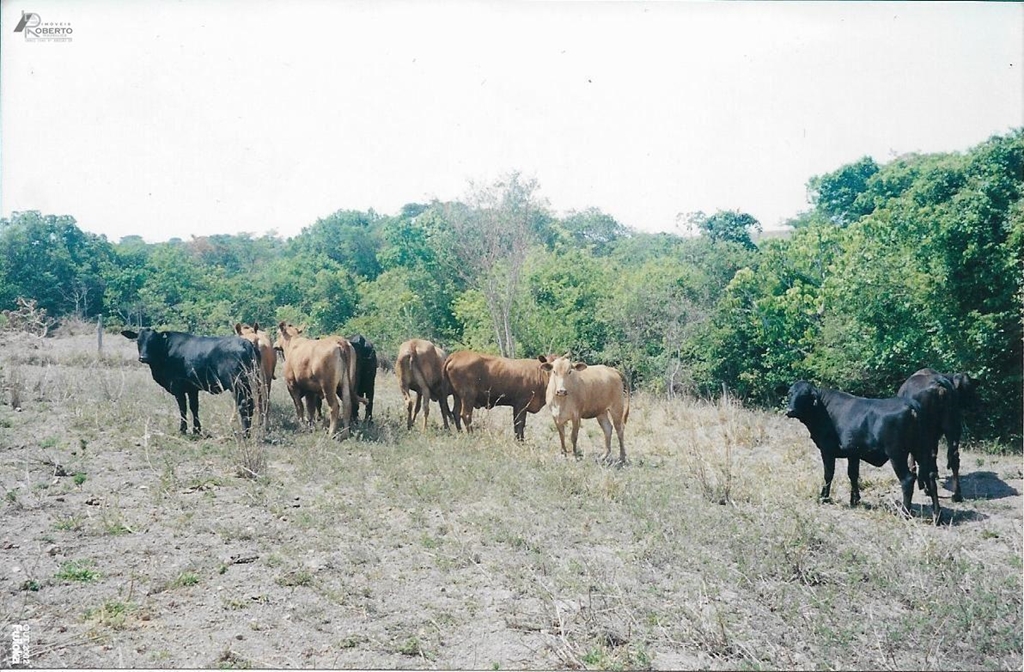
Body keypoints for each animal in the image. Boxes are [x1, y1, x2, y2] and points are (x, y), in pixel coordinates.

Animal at [120, 329, 260, 436]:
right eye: (138, 341)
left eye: (153, 341)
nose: (143, 357)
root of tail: (246, 343)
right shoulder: (192, 388)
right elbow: (194, 407)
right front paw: (197, 430)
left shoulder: (178, 388)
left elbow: (183, 408)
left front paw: (183, 430)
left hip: (237, 383)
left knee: (244, 405)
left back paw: (245, 434)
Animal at [782, 381, 942, 522]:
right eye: (790, 393)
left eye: (805, 395)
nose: (790, 411)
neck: (823, 410)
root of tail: (911, 405)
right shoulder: (853, 453)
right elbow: (853, 475)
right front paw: (855, 500)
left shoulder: (827, 450)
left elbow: (828, 474)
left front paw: (824, 497)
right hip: (922, 449)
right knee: (930, 476)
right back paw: (937, 516)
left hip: (897, 454)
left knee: (908, 479)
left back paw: (905, 513)